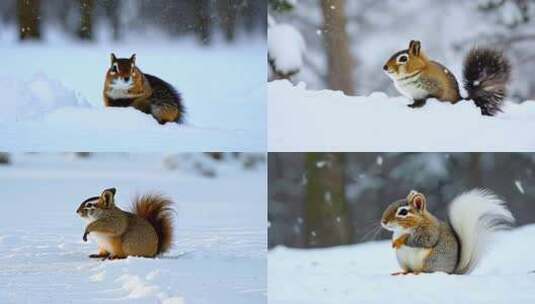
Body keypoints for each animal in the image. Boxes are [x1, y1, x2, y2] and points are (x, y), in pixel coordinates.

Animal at [382, 189, 516, 274]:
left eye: (403, 212)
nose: (383, 221)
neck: (403, 229)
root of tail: (452, 271)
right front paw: (394, 242)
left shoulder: (430, 231)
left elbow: (423, 240)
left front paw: (400, 240)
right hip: (403, 261)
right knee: (408, 270)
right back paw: (402, 273)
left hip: (431, 260)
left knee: (426, 271)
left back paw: (418, 272)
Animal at [384, 40, 512, 116]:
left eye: (403, 58)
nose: (385, 67)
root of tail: (460, 99)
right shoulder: (415, 94)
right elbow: (415, 100)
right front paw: (412, 105)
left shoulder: (436, 88)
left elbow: (430, 97)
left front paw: (420, 104)